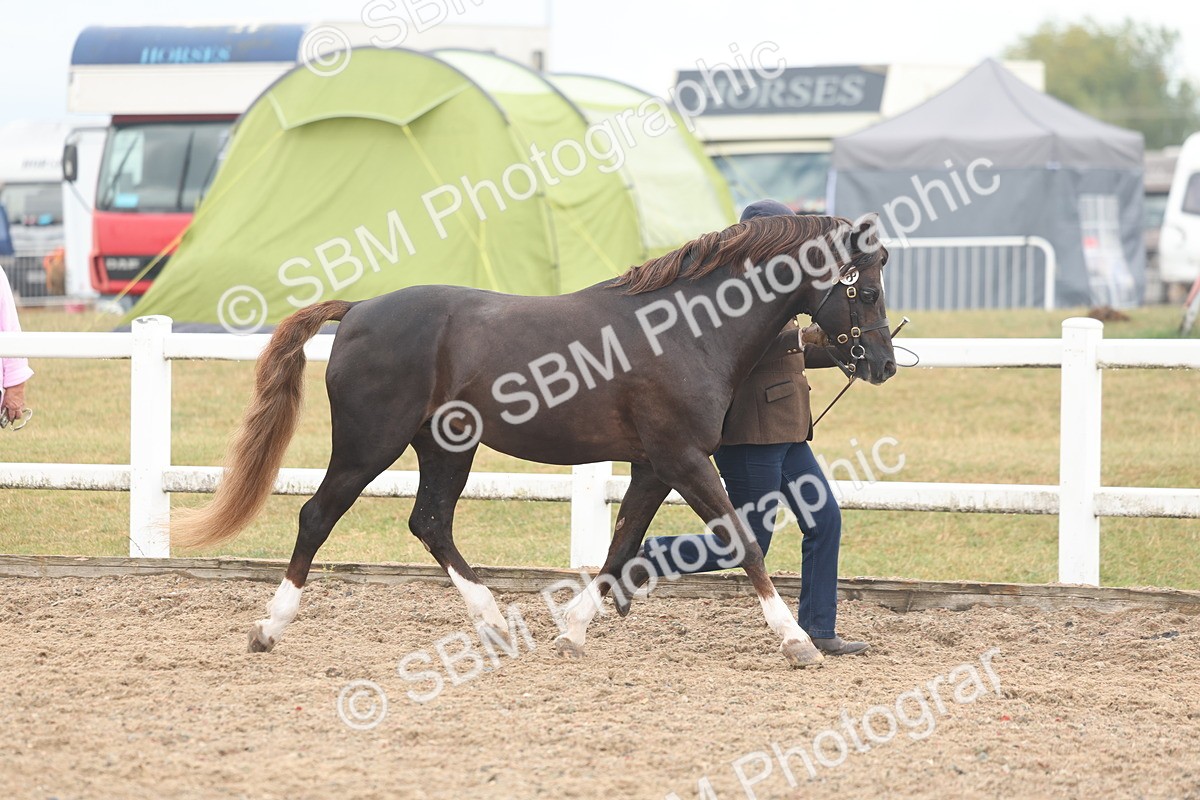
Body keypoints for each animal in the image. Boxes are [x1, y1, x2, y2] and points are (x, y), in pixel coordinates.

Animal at [174, 213, 895, 668]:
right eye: (866, 288)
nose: (884, 365)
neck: (685, 328)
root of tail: (356, 311)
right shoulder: (682, 458)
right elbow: (741, 541)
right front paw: (797, 642)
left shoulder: (652, 465)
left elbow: (621, 546)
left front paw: (573, 632)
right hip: (367, 446)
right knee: (317, 516)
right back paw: (269, 629)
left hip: (446, 449)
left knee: (429, 523)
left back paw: (494, 624)